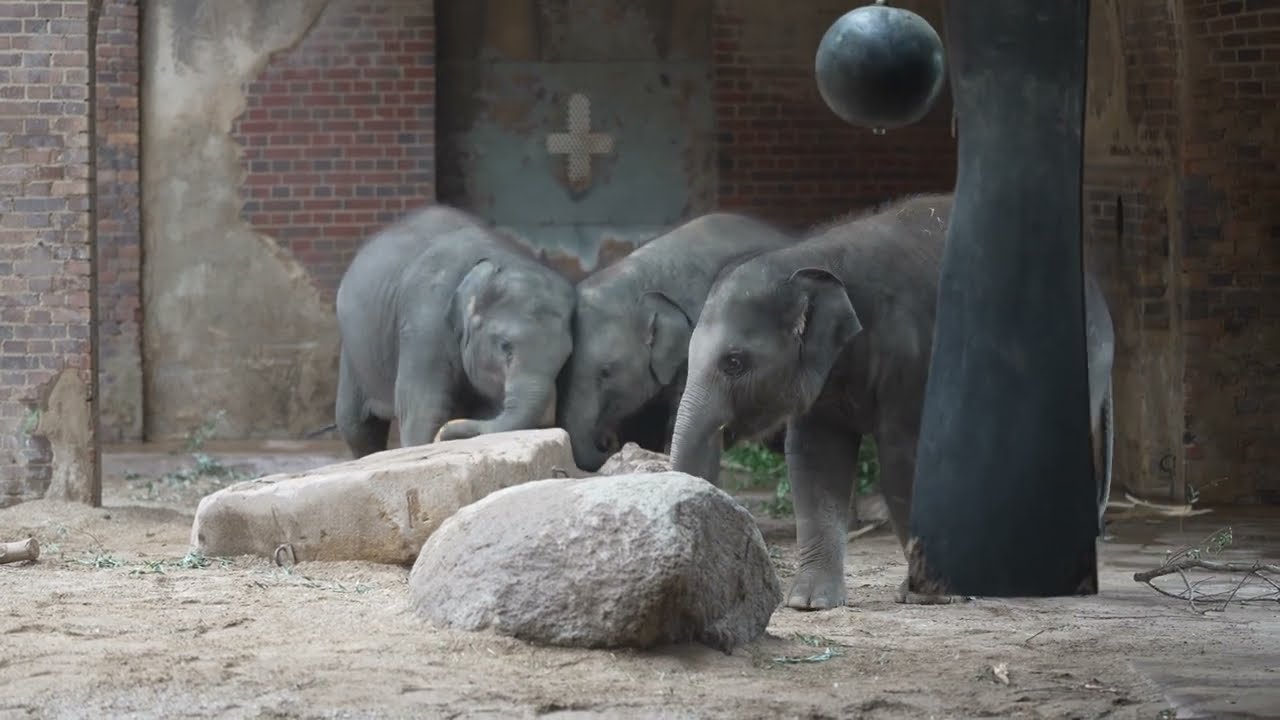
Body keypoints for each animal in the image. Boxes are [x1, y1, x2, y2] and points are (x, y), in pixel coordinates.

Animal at [334, 205, 576, 458]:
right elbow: (424, 408)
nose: (445, 434)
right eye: (505, 347)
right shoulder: (424, 322)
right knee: (356, 425)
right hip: (354, 355)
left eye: (565, 358)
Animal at [669, 192, 1115, 610]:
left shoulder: (912, 358)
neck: (810, 257)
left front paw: (930, 596)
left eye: (734, 362)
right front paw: (810, 603)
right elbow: (815, 460)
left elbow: (903, 460)